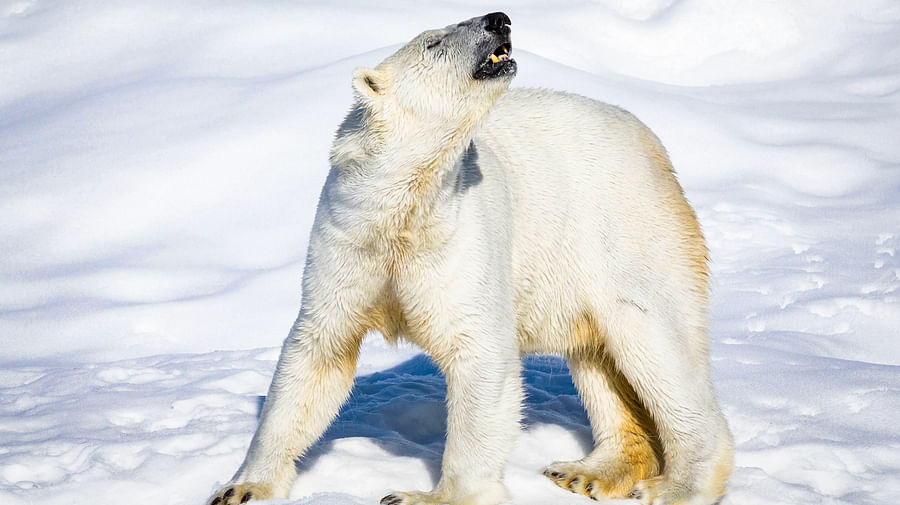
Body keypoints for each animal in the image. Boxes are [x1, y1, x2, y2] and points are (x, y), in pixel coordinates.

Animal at [209, 10, 732, 504]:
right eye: (434, 42)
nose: (498, 19)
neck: (403, 211)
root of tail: (651, 144)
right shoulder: (348, 241)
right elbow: (317, 354)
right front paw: (240, 488)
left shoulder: (462, 239)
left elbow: (480, 352)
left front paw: (421, 495)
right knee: (598, 359)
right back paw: (589, 472)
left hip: (625, 234)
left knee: (655, 343)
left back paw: (676, 486)